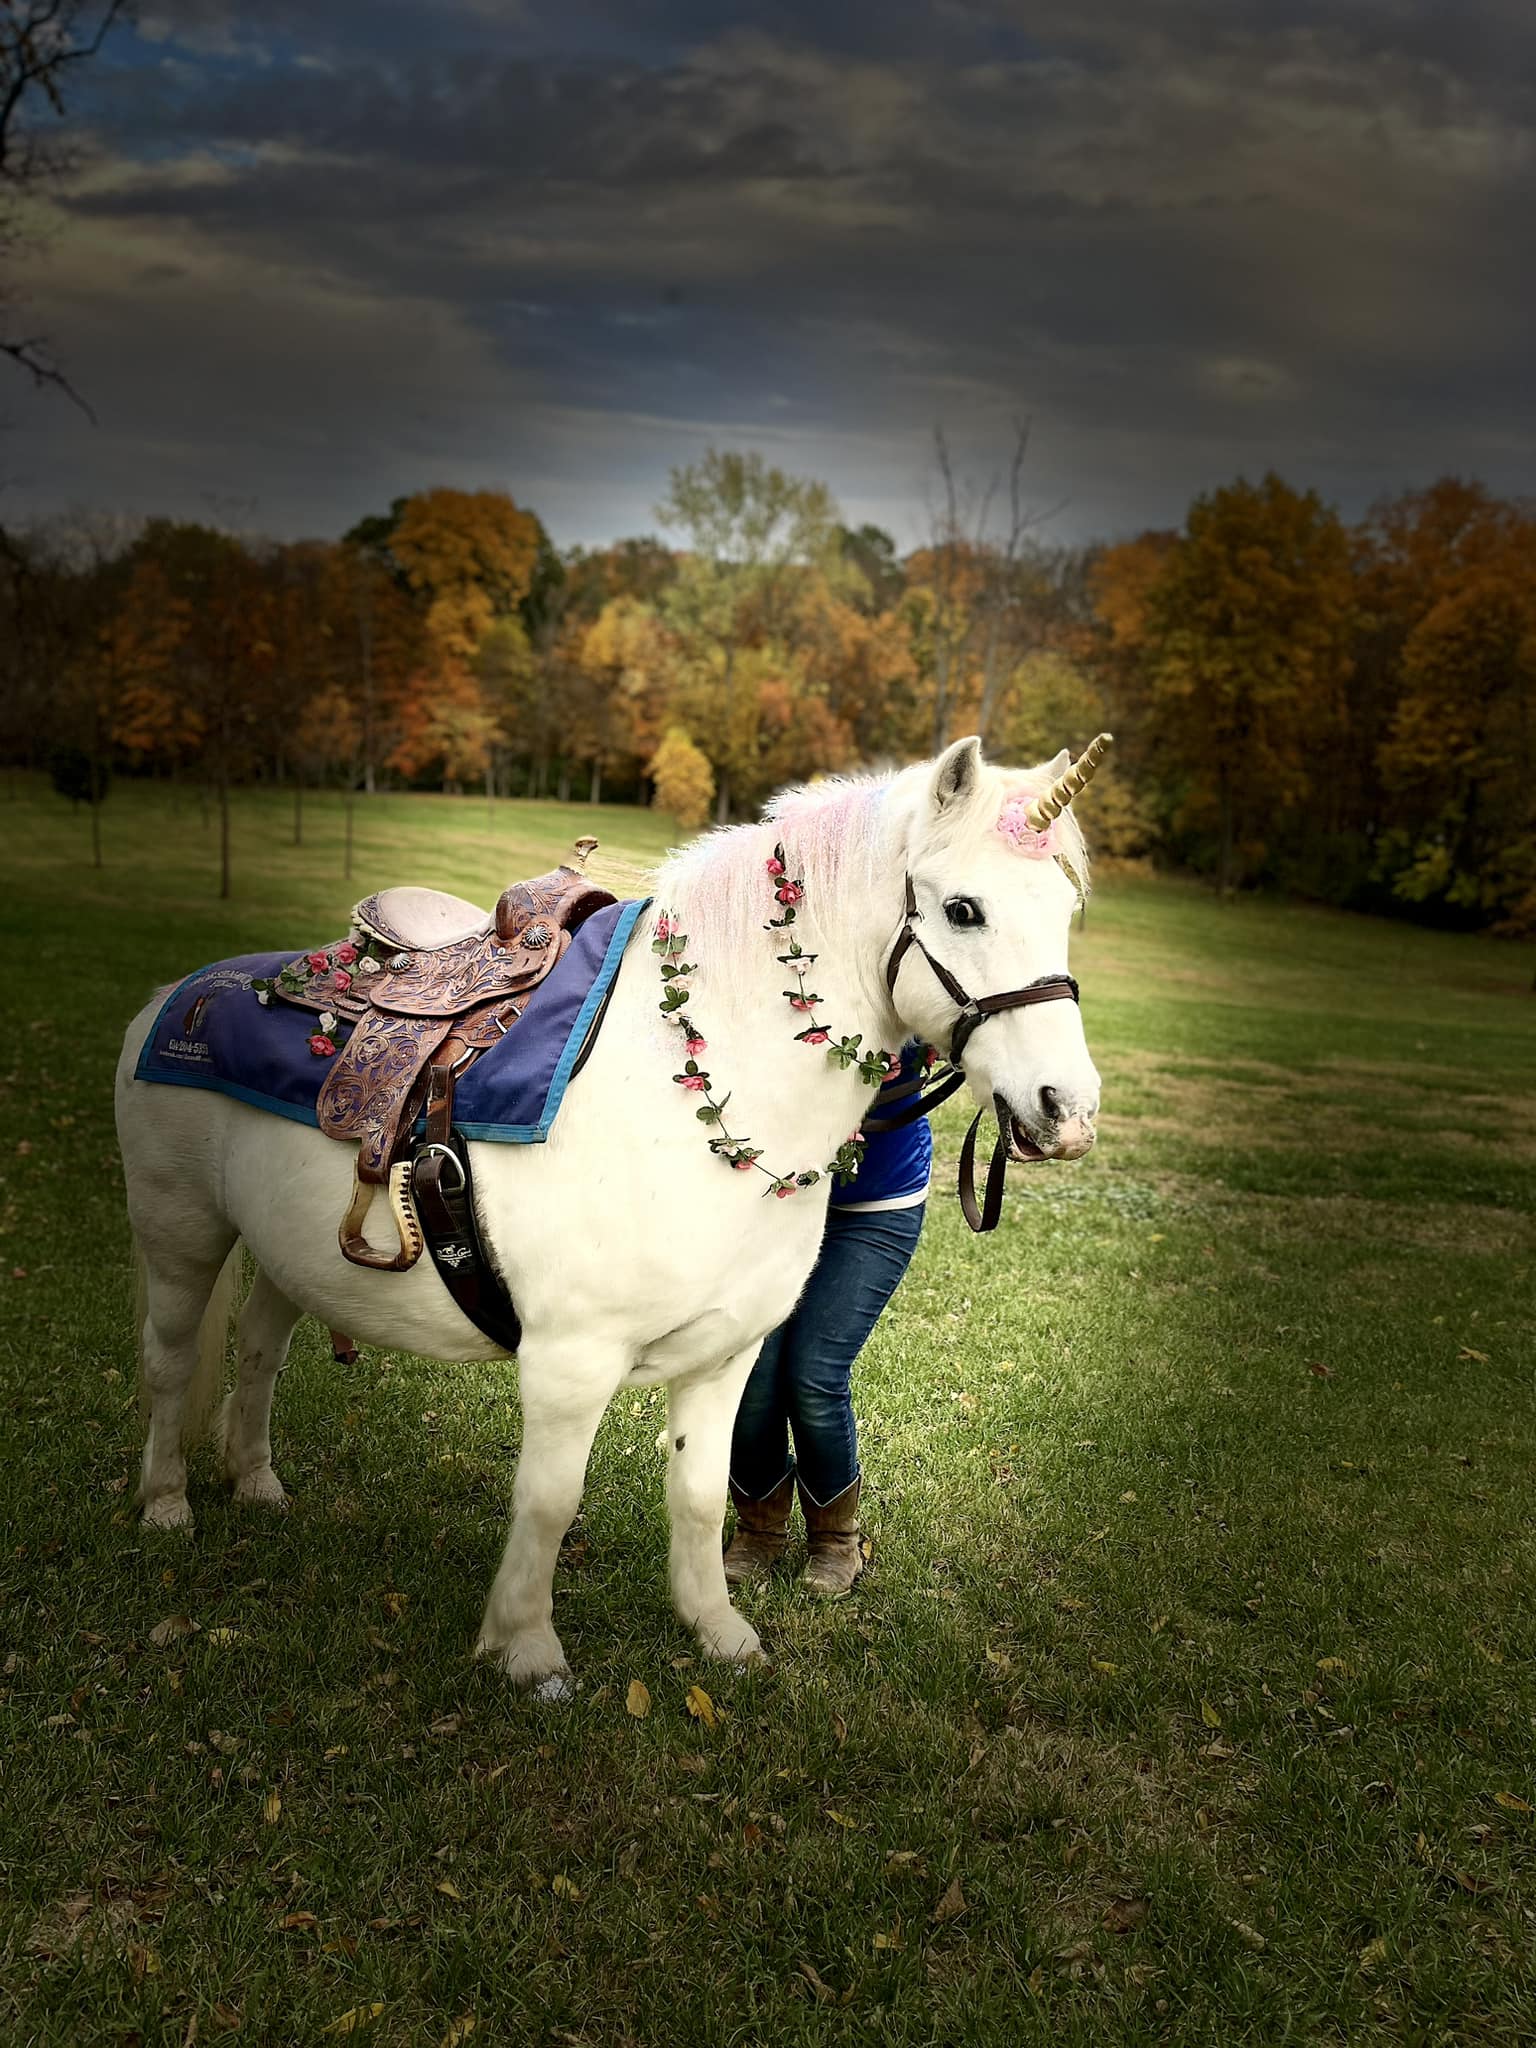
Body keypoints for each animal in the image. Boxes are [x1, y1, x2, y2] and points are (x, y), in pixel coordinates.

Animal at [120, 737, 1105, 1695]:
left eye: (1066, 909)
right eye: (964, 910)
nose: (1069, 1110)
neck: (686, 1087)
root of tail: (176, 997)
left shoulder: (725, 1358)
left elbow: (700, 1496)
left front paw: (718, 1633)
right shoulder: (570, 1362)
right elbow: (549, 1501)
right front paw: (526, 1649)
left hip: (286, 1253)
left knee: (259, 1351)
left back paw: (256, 1485)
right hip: (180, 1237)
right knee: (172, 1363)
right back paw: (166, 1505)